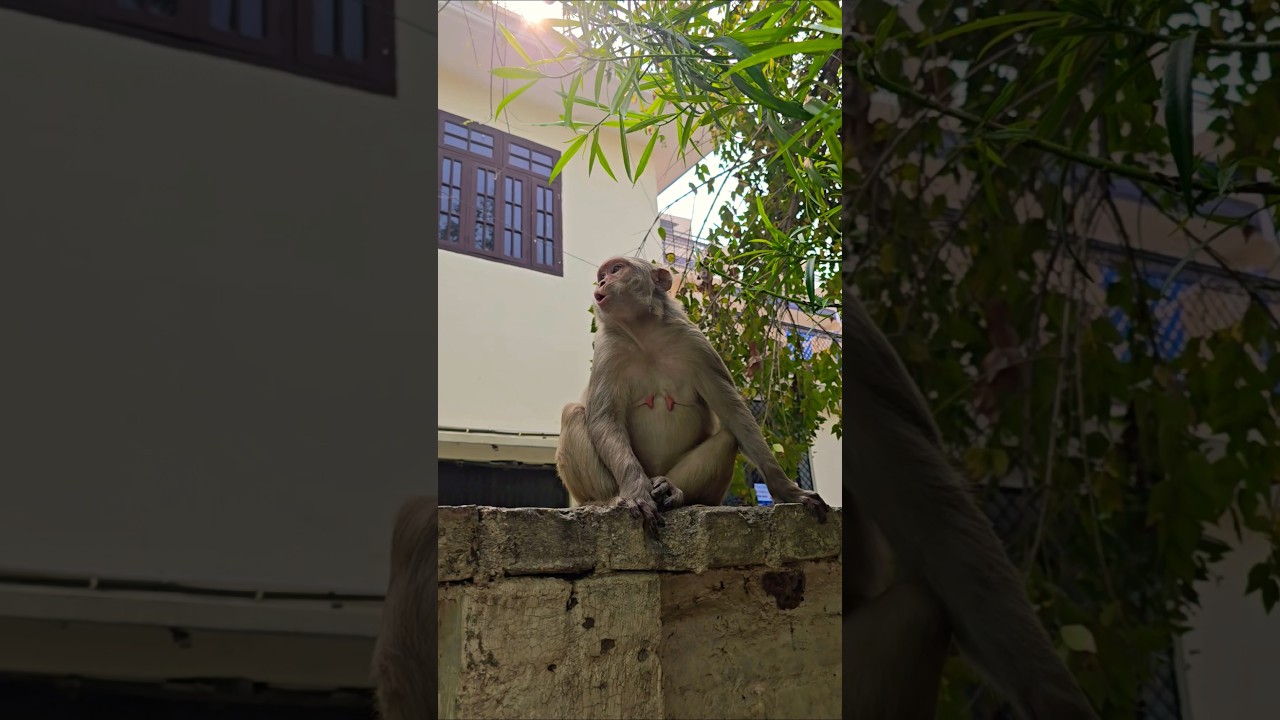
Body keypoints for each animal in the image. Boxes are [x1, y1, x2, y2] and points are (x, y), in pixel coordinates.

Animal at [556, 256, 828, 532]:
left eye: (615, 270)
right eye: (602, 275)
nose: (602, 282)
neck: (645, 336)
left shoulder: (695, 343)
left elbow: (734, 414)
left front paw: (788, 490)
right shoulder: (608, 348)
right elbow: (605, 418)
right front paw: (636, 492)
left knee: (728, 438)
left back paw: (673, 490)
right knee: (573, 413)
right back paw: (609, 499)